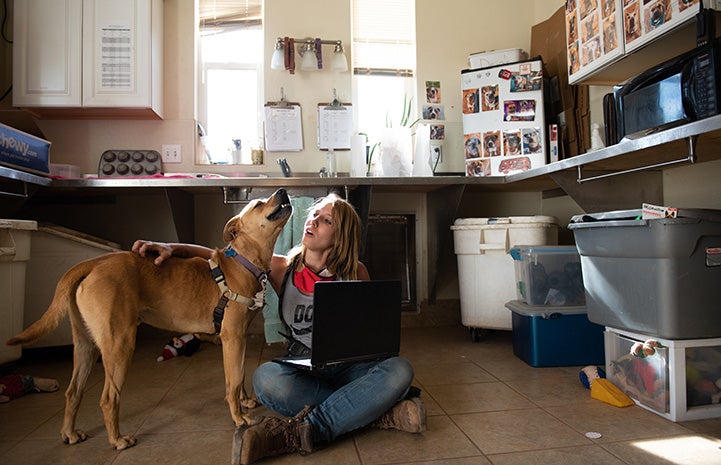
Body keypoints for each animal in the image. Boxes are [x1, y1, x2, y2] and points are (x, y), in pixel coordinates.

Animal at [6, 188, 292, 450]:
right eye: (257, 204)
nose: (283, 190)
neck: (242, 262)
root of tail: (94, 262)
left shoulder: (237, 339)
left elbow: (239, 375)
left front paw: (244, 401)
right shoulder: (232, 338)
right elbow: (233, 382)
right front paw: (239, 417)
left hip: (85, 344)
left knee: (73, 390)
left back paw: (70, 432)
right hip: (119, 344)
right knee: (109, 398)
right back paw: (117, 439)